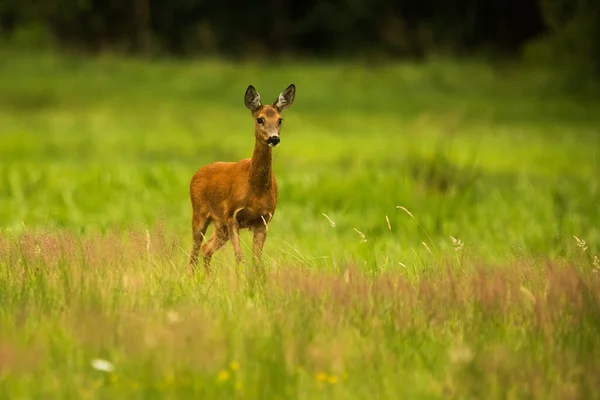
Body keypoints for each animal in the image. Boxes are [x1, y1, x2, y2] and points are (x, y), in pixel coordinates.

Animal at [189, 82, 296, 274]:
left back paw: (206, 278)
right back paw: (192, 278)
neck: (255, 190)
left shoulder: (263, 220)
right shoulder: (232, 215)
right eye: (260, 119)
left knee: (206, 248)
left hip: (220, 224)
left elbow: (257, 260)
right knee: (194, 251)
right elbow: (239, 257)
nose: (274, 138)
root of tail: (197, 173)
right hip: (199, 212)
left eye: (280, 120)